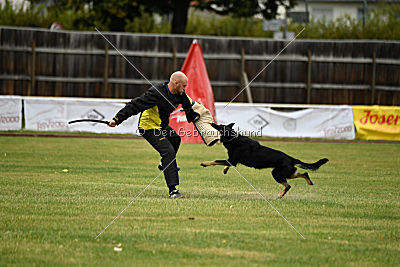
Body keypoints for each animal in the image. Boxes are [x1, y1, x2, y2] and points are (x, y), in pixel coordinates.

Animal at [200, 123, 328, 199]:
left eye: (219, 126)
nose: (212, 123)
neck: (233, 138)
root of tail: (291, 158)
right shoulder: (232, 161)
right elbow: (227, 164)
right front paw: (225, 170)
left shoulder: (231, 160)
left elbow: (216, 160)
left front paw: (205, 163)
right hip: (287, 173)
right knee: (304, 173)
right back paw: (309, 182)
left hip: (277, 174)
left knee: (288, 185)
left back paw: (280, 195)